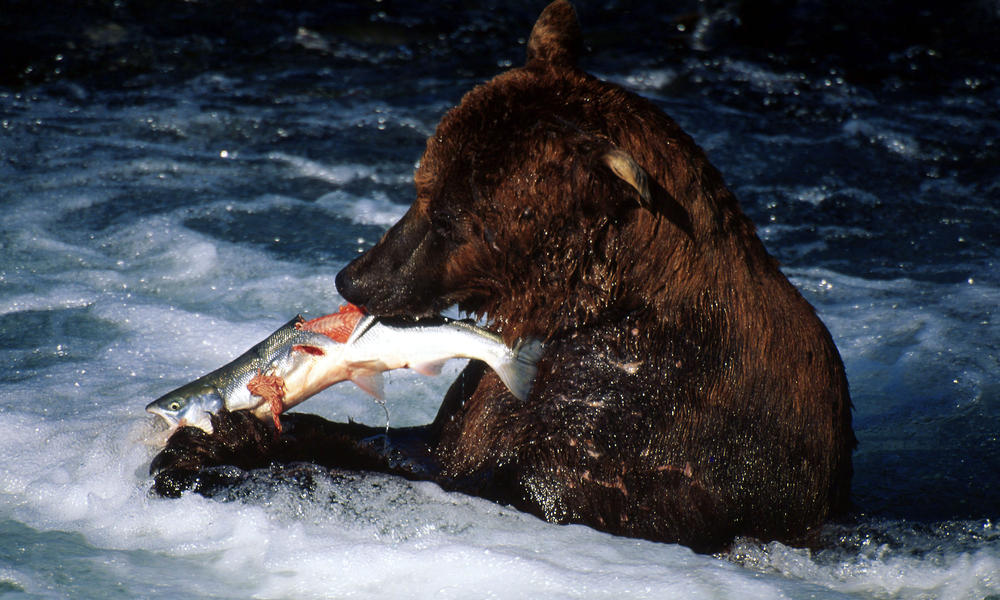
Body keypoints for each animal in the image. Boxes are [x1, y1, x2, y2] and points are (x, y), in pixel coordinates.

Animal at [152, 1, 856, 552]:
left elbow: (522, 487)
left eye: (452, 215)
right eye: (421, 184)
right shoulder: (494, 388)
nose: (354, 279)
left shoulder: (649, 417)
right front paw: (201, 445)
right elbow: (437, 438)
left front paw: (221, 442)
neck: (582, 306)